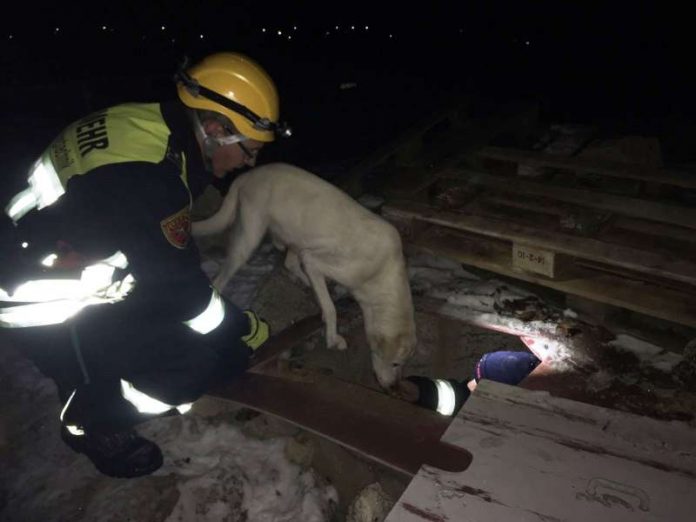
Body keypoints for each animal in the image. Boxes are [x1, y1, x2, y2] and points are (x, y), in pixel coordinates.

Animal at [193, 162, 416, 386]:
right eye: (395, 363)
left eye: (402, 365)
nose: (392, 387)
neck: (382, 275)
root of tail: (249, 173)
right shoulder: (315, 262)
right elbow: (331, 308)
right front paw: (333, 339)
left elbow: (326, 301)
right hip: (249, 241)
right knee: (220, 280)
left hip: (297, 235)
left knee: (290, 263)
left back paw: (305, 281)